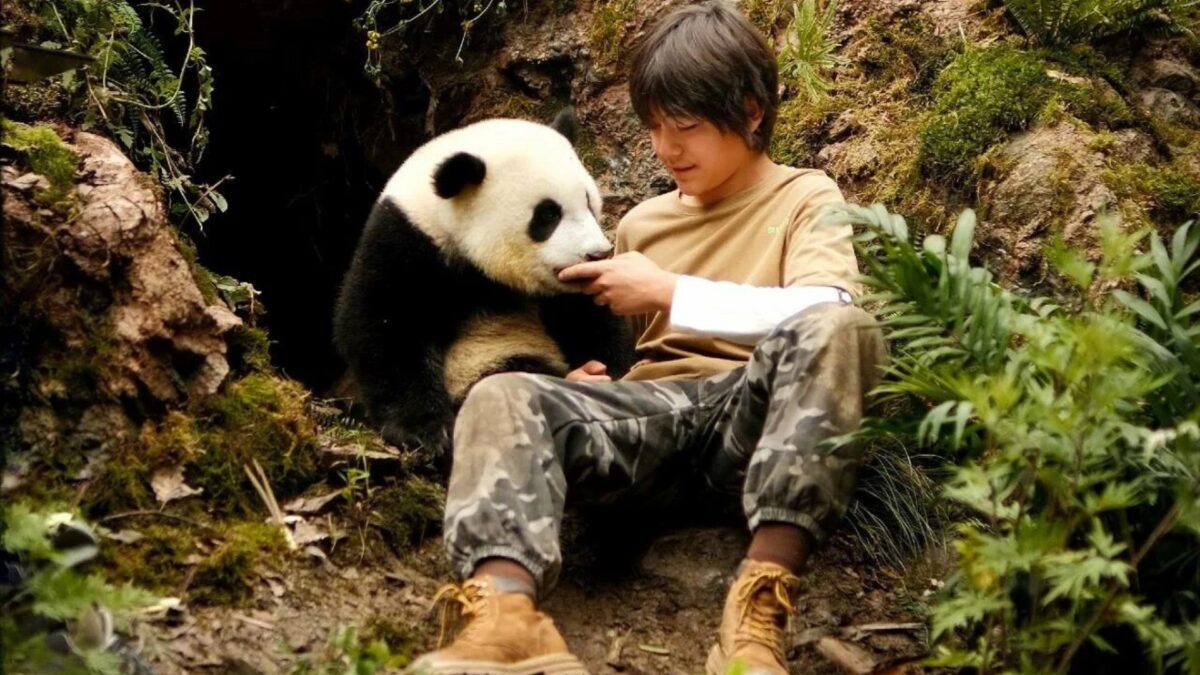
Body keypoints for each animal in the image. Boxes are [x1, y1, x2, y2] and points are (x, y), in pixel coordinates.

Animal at [332, 110, 635, 455]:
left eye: (588, 202)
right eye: (548, 215)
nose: (596, 253)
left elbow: (592, 319)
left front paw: (614, 373)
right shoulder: (407, 242)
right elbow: (383, 326)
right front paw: (425, 431)